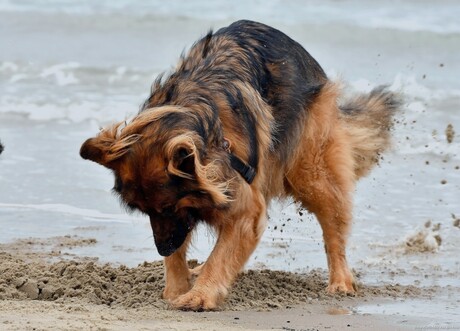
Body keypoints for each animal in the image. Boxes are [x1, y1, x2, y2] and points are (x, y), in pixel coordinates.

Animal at [81, 20, 400, 312]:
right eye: (145, 211)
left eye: (169, 206)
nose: (162, 248)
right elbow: (191, 253)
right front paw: (177, 287)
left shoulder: (242, 207)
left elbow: (221, 254)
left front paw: (199, 295)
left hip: (311, 173)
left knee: (333, 227)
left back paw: (341, 281)